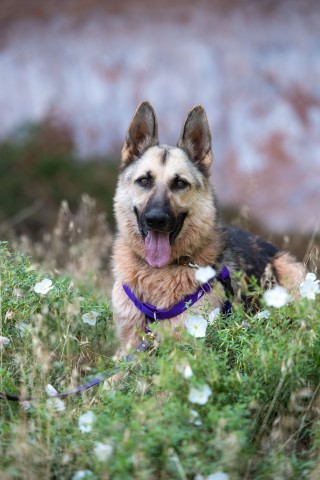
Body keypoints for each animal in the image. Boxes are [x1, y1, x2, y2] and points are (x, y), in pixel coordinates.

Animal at [112, 102, 304, 356]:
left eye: (179, 183)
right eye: (144, 181)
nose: (156, 220)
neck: (158, 273)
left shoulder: (188, 349)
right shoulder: (126, 350)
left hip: (290, 272)